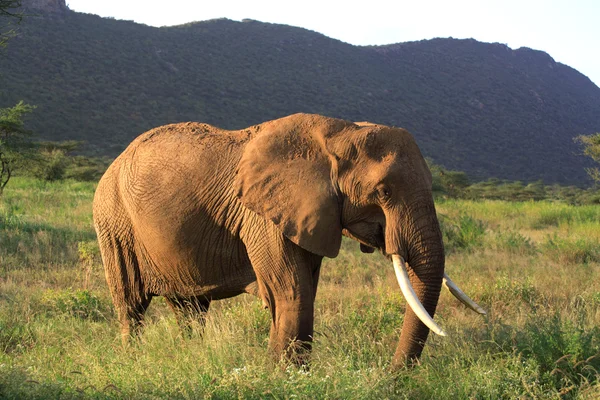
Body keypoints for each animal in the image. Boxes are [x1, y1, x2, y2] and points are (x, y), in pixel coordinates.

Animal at [95, 112, 488, 368]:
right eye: (384, 192)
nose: (391, 377)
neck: (338, 134)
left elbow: (306, 290)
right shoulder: (262, 216)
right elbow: (291, 291)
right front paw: (283, 378)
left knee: (189, 308)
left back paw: (190, 358)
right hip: (114, 221)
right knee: (131, 303)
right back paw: (132, 362)